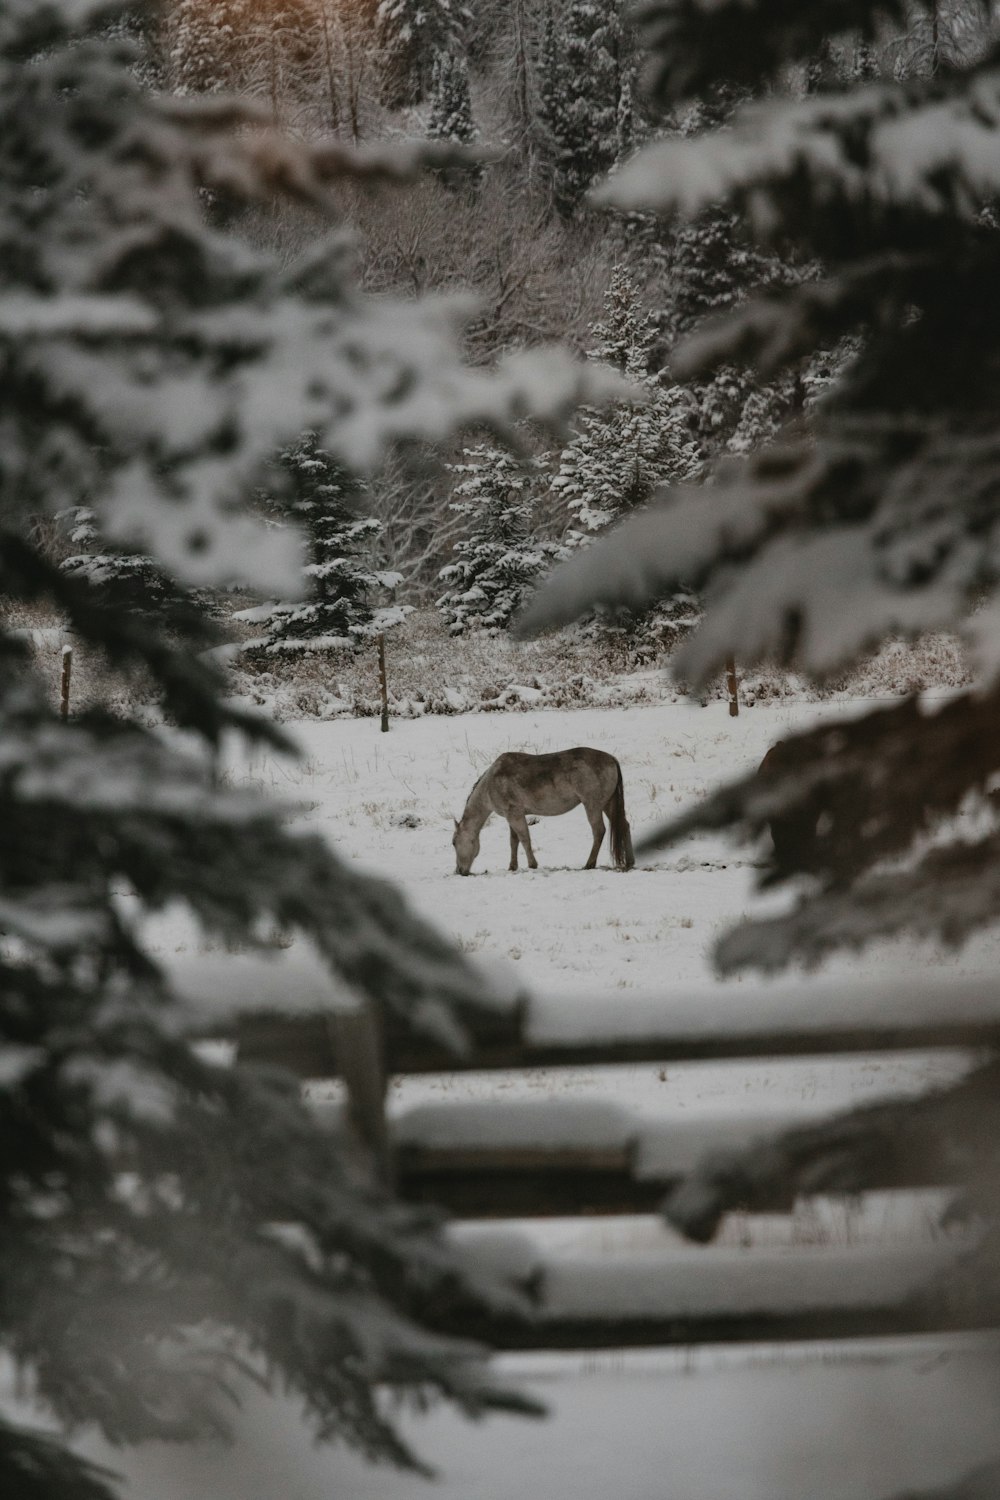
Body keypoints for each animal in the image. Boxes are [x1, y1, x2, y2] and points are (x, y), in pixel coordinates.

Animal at [452, 747, 632, 876]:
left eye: (454, 843)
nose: (459, 871)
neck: (492, 783)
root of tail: (611, 759)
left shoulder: (515, 815)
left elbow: (524, 839)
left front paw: (532, 865)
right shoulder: (512, 816)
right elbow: (513, 842)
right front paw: (512, 866)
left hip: (592, 805)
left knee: (599, 831)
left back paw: (589, 864)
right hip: (608, 803)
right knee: (624, 825)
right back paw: (630, 862)